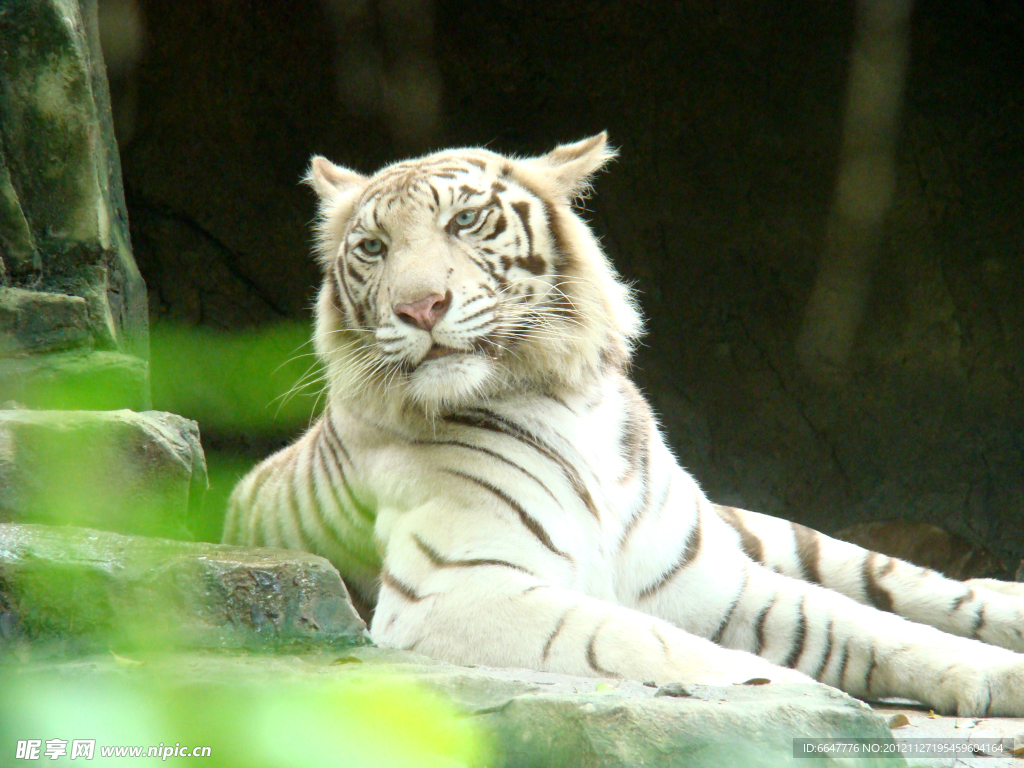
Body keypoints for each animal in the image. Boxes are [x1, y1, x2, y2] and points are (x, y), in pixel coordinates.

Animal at [223, 133, 1024, 716]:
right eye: (374, 248)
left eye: (464, 221)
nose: (418, 307)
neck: (559, 397)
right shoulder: (453, 589)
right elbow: (641, 639)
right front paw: (794, 690)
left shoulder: (710, 575)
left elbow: (859, 624)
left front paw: (995, 674)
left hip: (758, 531)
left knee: (906, 581)